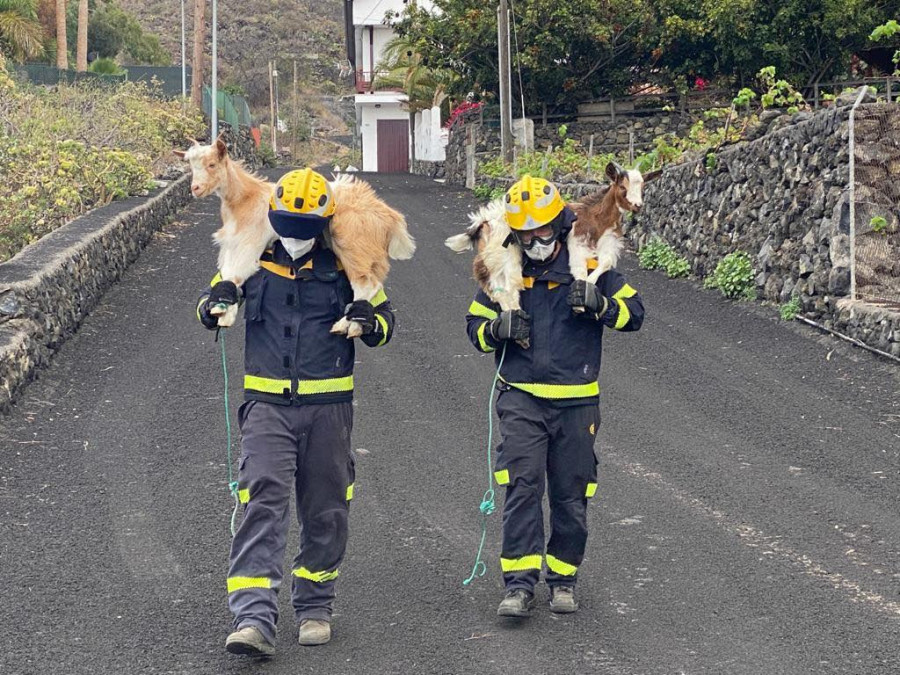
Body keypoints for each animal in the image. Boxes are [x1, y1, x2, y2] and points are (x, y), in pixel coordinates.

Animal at [175, 138, 414, 336]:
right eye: (191, 166)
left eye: (212, 164)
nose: (195, 188)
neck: (244, 199)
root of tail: (388, 215)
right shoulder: (231, 245)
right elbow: (227, 276)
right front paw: (222, 309)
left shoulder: (249, 243)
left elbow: (236, 273)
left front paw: (222, 313)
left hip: (352, 244)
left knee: (367, 285)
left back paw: (348, 325)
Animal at [444, 162, 660, 312]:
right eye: (623, 187)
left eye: (643, 188)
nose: (637, 206)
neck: (596, 217)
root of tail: (484, 222)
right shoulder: (577, 242)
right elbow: (579, 269)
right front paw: (580, 302)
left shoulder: (608, 243)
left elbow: (604, 264)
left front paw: (587, 292)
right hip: (502, 255)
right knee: (504, 288)